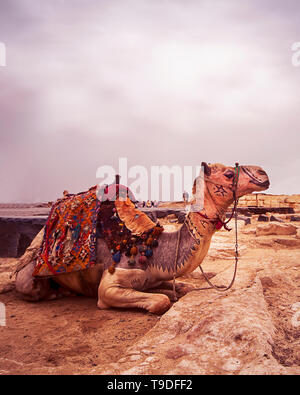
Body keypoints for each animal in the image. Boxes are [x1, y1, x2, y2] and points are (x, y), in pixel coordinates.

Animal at [14, 162, 270, 314]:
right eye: (228, 173)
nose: (264, 174)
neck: (154, 248)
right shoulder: (112, 281)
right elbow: (159, 301)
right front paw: (164, 297)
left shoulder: (157, 276)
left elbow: (183, 287)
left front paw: (174, 290)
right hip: (29, 275)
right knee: (30, 287)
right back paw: (57, 292)